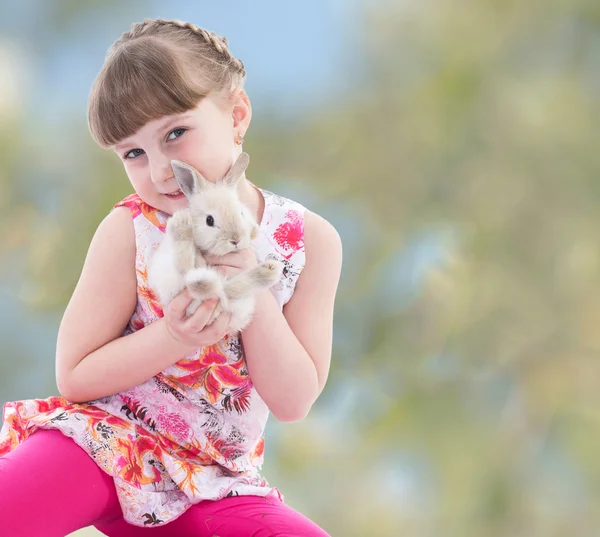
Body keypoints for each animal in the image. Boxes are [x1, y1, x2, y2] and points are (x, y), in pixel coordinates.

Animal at [147, 152, 284, 336]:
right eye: (209, 220)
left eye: (240, 213)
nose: (236, 240)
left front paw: (254, 231)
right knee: (189, 272)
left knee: (230, 289)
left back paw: (268, 270)